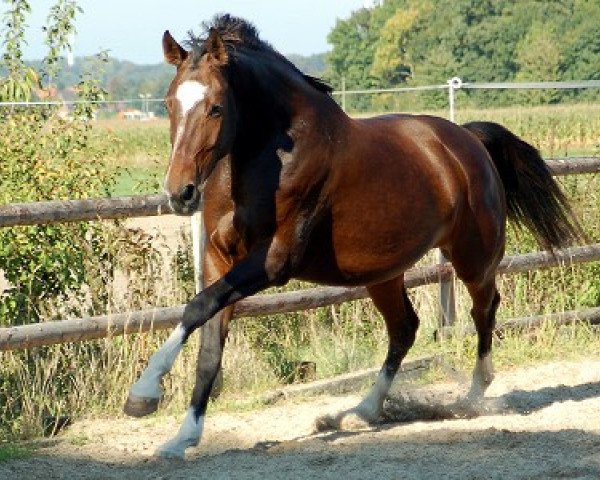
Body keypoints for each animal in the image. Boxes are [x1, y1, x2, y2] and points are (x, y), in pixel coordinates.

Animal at [124, 14, 584, 458]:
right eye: (168, 103)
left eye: (216, 108)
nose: (180, 193)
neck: (270, 156)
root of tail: (468, 139)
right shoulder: (219, 260)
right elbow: (207, 343)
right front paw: (182, 437)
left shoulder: (273, 262)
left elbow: (196, 307)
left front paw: (143, 395)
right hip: (383, 273)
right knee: (405, 329)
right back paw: (362, 411)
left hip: (473, 258)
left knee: (483, 311)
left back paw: (472, 396)